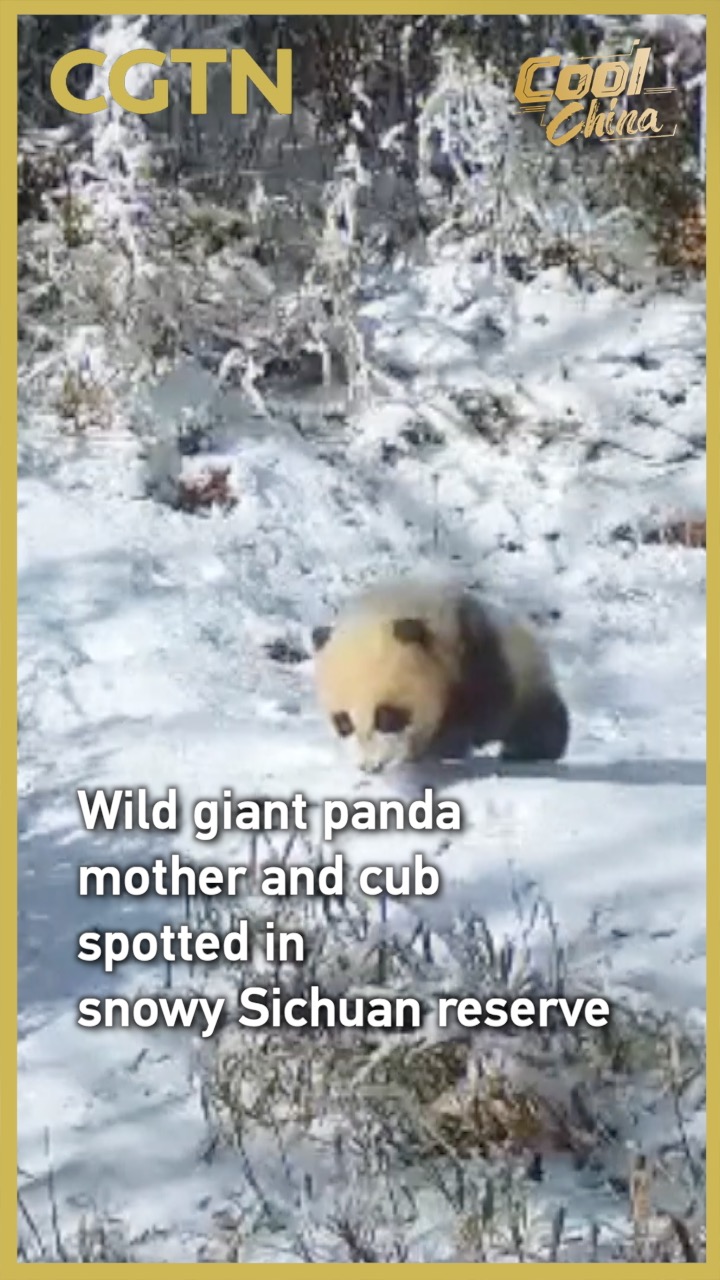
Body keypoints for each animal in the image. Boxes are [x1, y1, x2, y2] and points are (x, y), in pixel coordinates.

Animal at [311, 577, 569, 774]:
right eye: (343, 722)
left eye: (387, 716)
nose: (370, 766)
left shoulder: (471, 654)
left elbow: (480, 707)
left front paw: (442, 747)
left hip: (526, 667)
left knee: (539, 718)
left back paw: (526, 750)